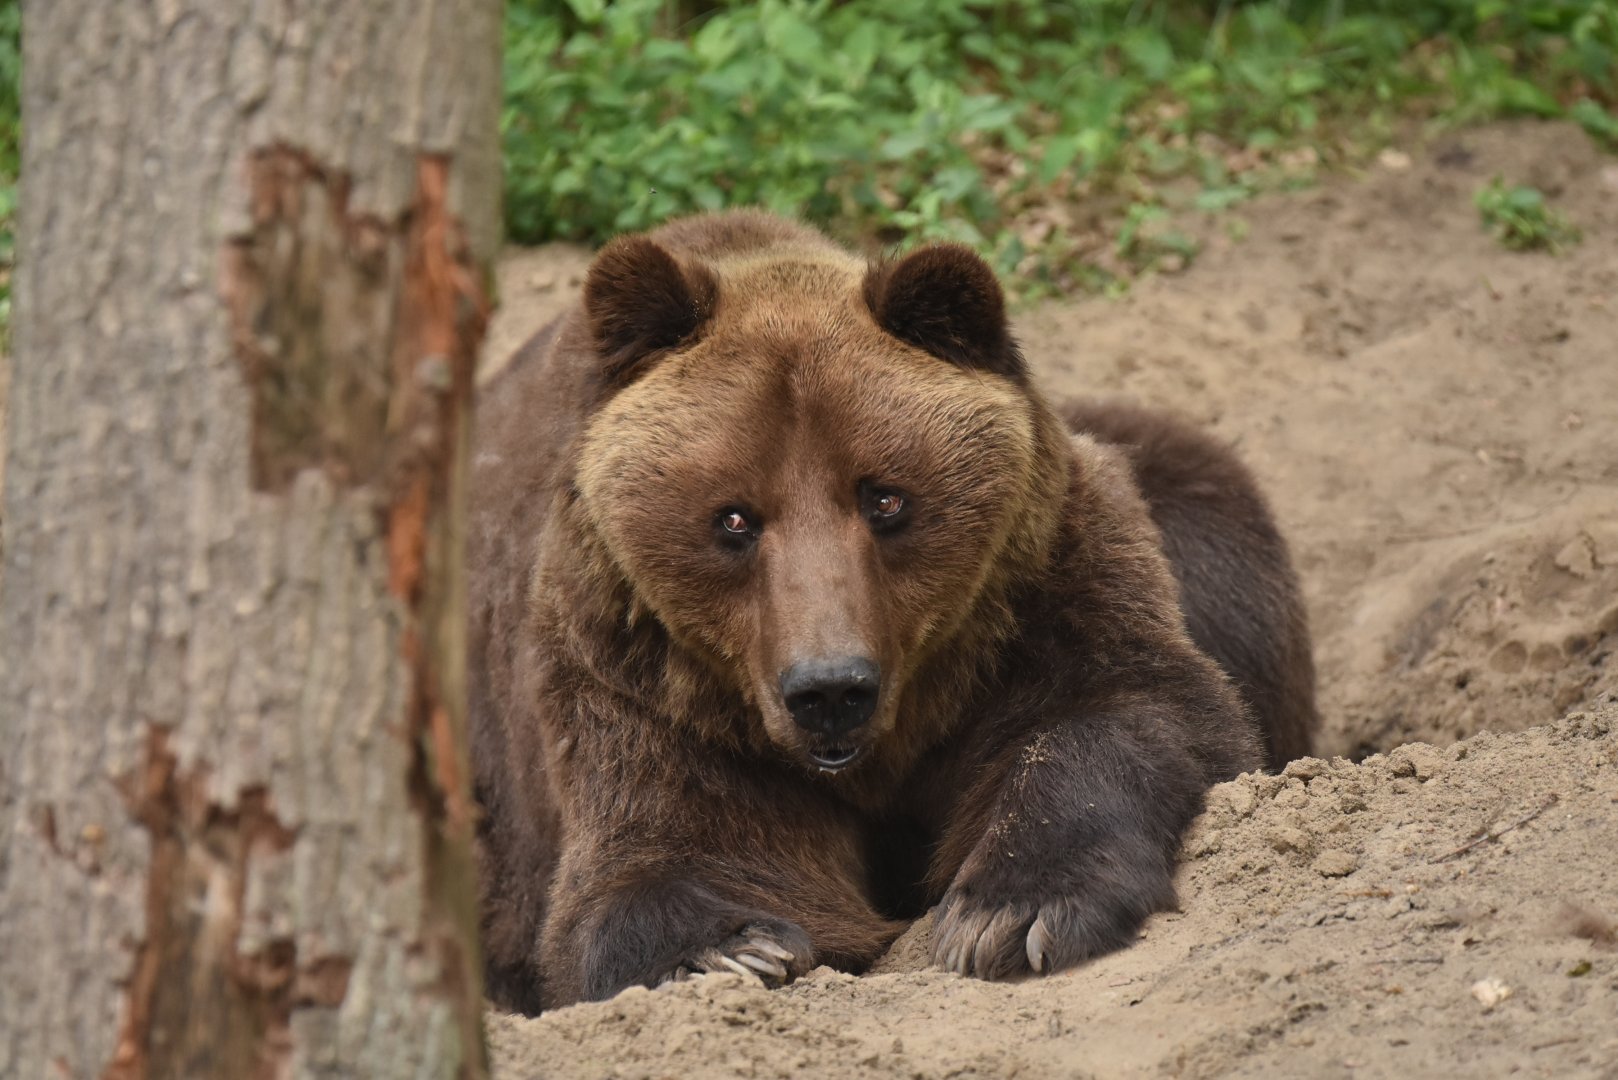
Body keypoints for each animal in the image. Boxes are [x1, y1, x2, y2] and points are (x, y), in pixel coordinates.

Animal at [468, 209, 1317, 1014]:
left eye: (884, 497)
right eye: (734, 518)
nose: (830, 689)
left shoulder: (1036, 593)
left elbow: (1131, 708)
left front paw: (1010, 910)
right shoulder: (643, 679)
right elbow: (659, 852)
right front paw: (728, 949)